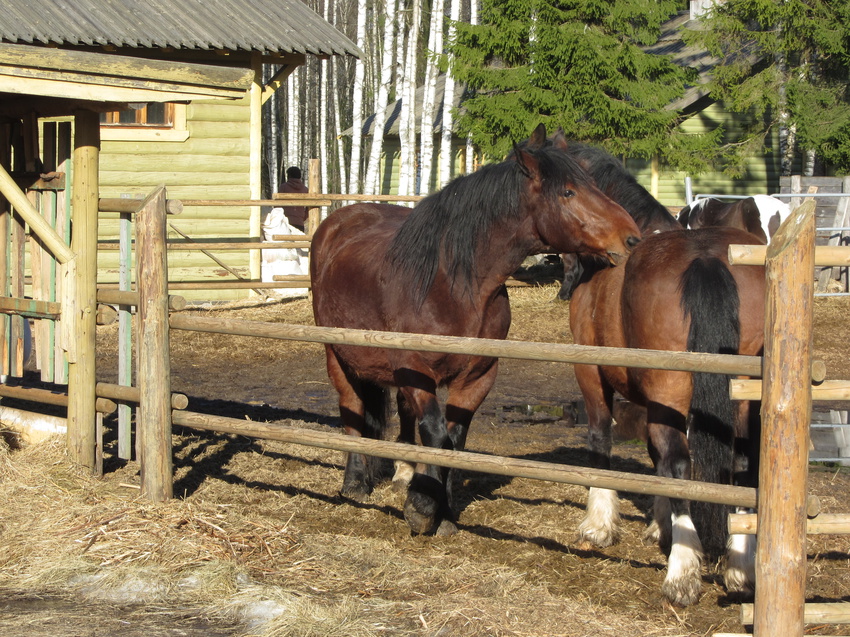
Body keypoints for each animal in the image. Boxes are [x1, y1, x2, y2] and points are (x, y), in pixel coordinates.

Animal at [310, 123, 636, 532]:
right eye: (568, 191)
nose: (631, 237)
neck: (453, 285)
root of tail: (338, 221)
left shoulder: (478, 377)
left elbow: (455, 439)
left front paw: (445, 512)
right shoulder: (415, 368)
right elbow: (435, 432)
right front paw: (422, 506)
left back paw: (400, 471)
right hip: (337, 356)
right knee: (352, 408)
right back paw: (355, 484)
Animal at [568, 226, 760, 604]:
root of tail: (705, 256)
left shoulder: (591, 372)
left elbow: (600, 438)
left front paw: (599, 525)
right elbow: (654, 456)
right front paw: (660, 526)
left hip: (666, 387)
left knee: (679, 466)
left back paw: (681, 574)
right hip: (744, 396)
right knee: (742, 466)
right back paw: (741, 568)